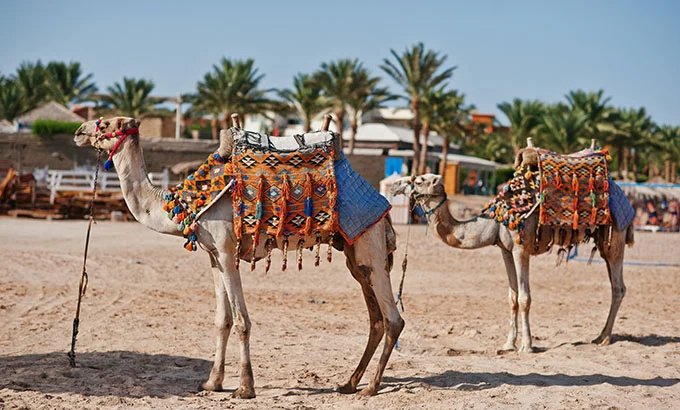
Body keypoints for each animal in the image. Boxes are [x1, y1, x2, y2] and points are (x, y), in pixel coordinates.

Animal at [73, 116, 404, 398]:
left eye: (107, 123)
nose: (78, 131)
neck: (185, 203)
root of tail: (383, 204)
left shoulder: (226, 250)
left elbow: (242, 321)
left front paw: (245, 387)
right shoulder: (213, 256)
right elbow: (223, 319)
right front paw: (212, 382)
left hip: (371, 246)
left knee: (393, 319)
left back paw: (370, 388)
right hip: (354, 255)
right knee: (375, 318)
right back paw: (349, 383)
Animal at [390, 172, 634, 353]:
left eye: (419, 179)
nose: (393, 186)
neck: (496, 221)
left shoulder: (520, 249)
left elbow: (525, 298)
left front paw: (526, 346)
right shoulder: (505, 251)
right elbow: (513, 298)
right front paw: (508, 344)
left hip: (615, 238)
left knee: (619, 287)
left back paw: (604, 337)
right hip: (604, 242)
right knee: (615, 285)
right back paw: (601, 335)